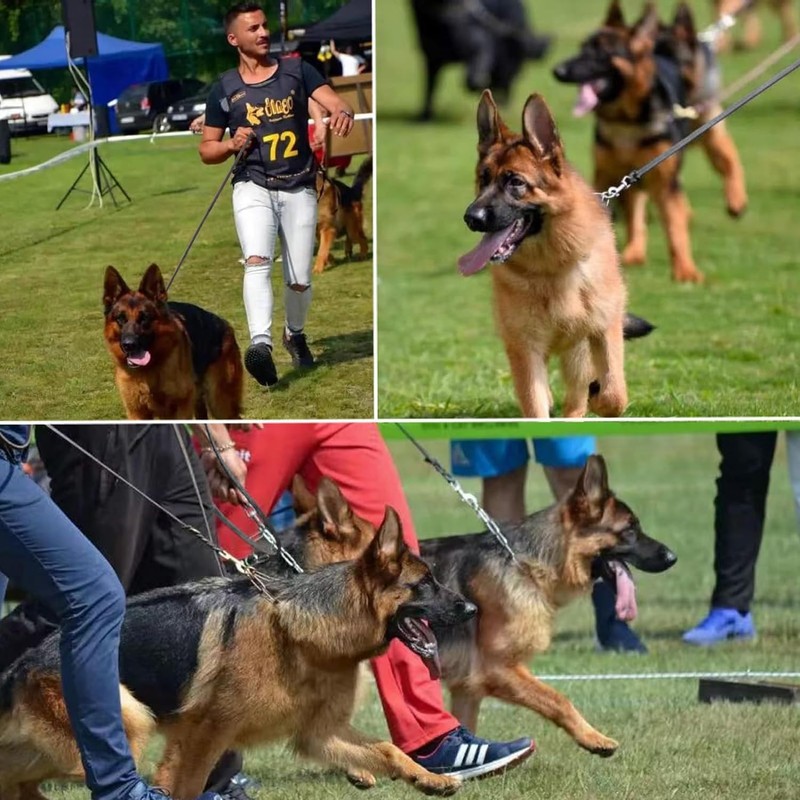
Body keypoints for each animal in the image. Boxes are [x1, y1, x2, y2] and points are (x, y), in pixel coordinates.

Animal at [0, 501, 477, 800]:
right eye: (425, 584)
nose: (473, 609)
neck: (298, 632)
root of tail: (21, 666)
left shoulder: (319, 733)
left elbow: (388, 751)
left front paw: (430, 779)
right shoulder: (201, 736)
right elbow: (183, 787)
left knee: (17, 783)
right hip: (125, 728)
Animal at [103, 263, 243, 420]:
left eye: (145, 318)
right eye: (120, 319)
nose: (129, 345)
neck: (150, 368)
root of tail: (226, 324)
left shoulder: (181, 408)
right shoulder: (137, 412)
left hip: (220, 403)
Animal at [409, 0, 551, 120]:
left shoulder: (481, 48)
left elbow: (473, 80)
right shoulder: (431, 58)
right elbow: (430, 88)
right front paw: (425, 116)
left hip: (507, 59)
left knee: (505, 83)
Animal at [458, 89, 655, 418]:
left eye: (515, 182)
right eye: (483, 179)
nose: (471, 218)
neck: (550, 267)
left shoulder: (604, 330)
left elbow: (614, 395)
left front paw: (600, 396)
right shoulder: (525, 349)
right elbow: (535, 407)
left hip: (578, 354)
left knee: (578, 396)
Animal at [552, 1, 748, 284]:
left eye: (601, 52)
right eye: (582, 48)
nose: (558, 71)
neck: (626, 122)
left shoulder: (665, 179)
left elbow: (675, 229)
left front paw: (685, 271)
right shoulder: (609, 174)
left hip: (706, 125)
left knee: (728, 158)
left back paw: (736, 200)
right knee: (638, 206)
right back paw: (635, 250)